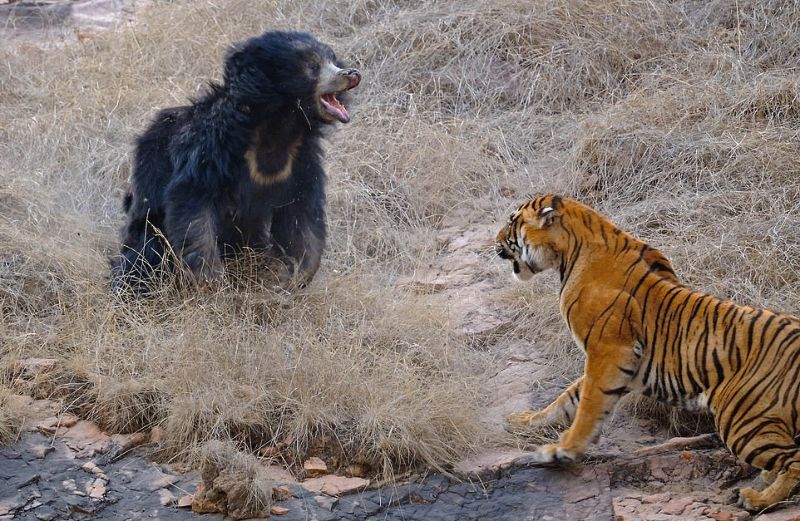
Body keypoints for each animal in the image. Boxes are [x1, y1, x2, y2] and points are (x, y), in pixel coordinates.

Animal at [111, 31, 360, 292]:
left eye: (332, 60)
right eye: (313, 66)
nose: (353, 73)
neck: (279, 126)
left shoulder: (301, 162)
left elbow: (301, 217)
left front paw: (294, 277)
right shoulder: (210, 149)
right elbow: (192, 205)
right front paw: (212, 280)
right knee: (146, 254)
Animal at [496, 193, 796, 510]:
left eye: (512, 222)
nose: (495, 240)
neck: (570, 252)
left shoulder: (610, 352)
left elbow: (588, 405)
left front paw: (562, 450)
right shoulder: (620, 364)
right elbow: (568, 399)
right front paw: (526, 421)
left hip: (741, 419)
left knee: (794, 461)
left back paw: (758, 498)